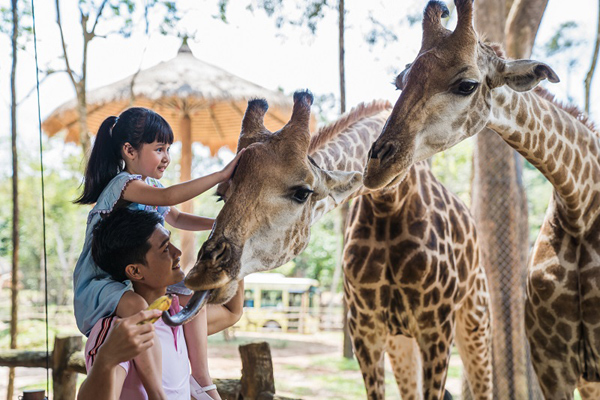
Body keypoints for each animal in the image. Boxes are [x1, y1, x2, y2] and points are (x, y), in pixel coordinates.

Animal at [183, 90, 492, 400]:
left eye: (302, 192)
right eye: (221, 195)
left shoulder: (436, 328)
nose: (203, 273)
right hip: (401, 341)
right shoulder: (365, 330)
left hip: (475, 323)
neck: (392, 201)